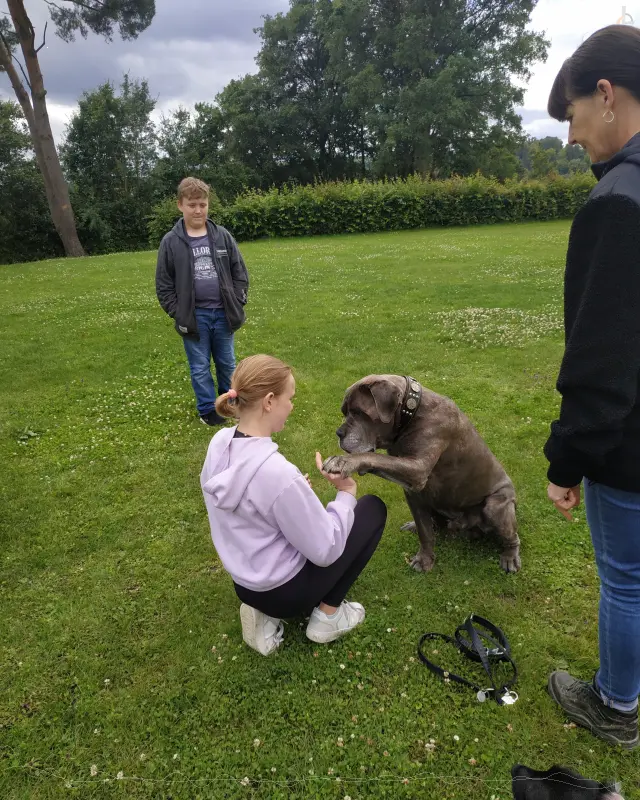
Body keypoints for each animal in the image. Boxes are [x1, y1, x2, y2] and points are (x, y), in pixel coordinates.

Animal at [322, 376, 524, 576]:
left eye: (358, 412)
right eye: (345, 412)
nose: (339, 433)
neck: (411, 414)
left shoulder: (418, 469)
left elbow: (376, 457)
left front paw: (344, 461)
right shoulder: (413, 493)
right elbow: (424, 531)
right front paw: (425, 559)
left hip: (495, 506)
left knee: (512, 536)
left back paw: (510, 557)